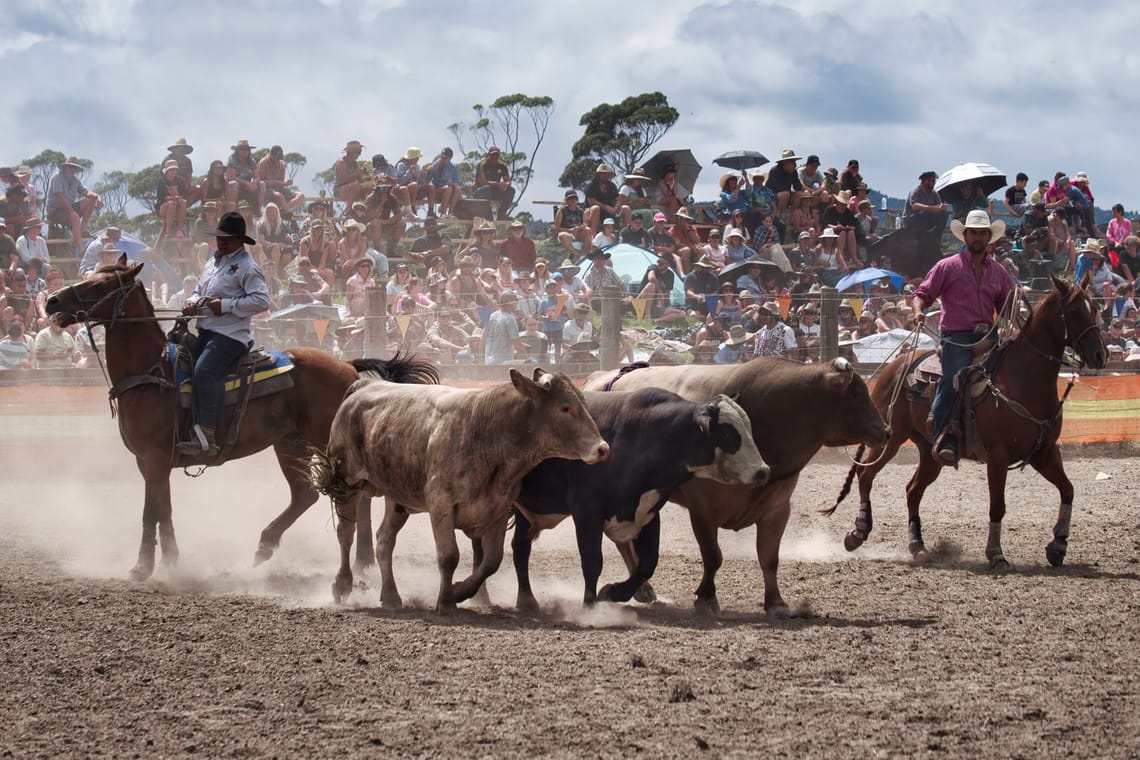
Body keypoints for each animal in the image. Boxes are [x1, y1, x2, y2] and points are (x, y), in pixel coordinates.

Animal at [44, 258, 437, 578]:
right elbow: (163, 511)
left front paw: (142, 568)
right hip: (289, 443)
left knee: (354, 494)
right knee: (306, 496)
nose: (51, 301)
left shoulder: (154, 458)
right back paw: (281, 548)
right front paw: (171, 562)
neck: (153, 372)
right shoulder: (151, 462)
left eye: (99, 285)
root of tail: (347, 366)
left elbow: (149, 512)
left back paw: (359, 560)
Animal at [829, 276, 1103, 567]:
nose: (1100, 355)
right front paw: (996, 554)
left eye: (1095, 309)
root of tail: (895, 366)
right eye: (1075, 311)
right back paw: (858, 532)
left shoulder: (1045, 452)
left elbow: (1068, 490)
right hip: (889, 438)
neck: (1023, 378)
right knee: (866, 475)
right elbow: (997, 506)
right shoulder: (997, 456)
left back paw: (918, 546)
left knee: (912, 490)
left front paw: (1058, 545)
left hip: (930, 452)